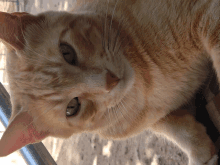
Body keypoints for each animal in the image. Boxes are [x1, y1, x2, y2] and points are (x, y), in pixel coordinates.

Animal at [0, 0, 220, 164]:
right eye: (72, 107)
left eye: (67, 52)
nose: (110, 81)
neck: (146, 82)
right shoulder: (157, 118)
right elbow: (178, 130)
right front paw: (202, 152)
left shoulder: (206, 13)